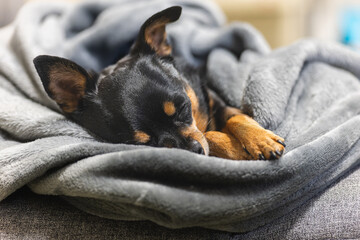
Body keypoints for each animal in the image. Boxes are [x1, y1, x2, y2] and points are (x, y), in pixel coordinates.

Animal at [33, 5, 286, 160]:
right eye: (143, 143)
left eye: (183, 108)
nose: (193, 150)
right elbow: (209, 136)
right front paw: (232, 147)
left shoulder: (215, 100)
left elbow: (237, 117)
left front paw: (261, 140)